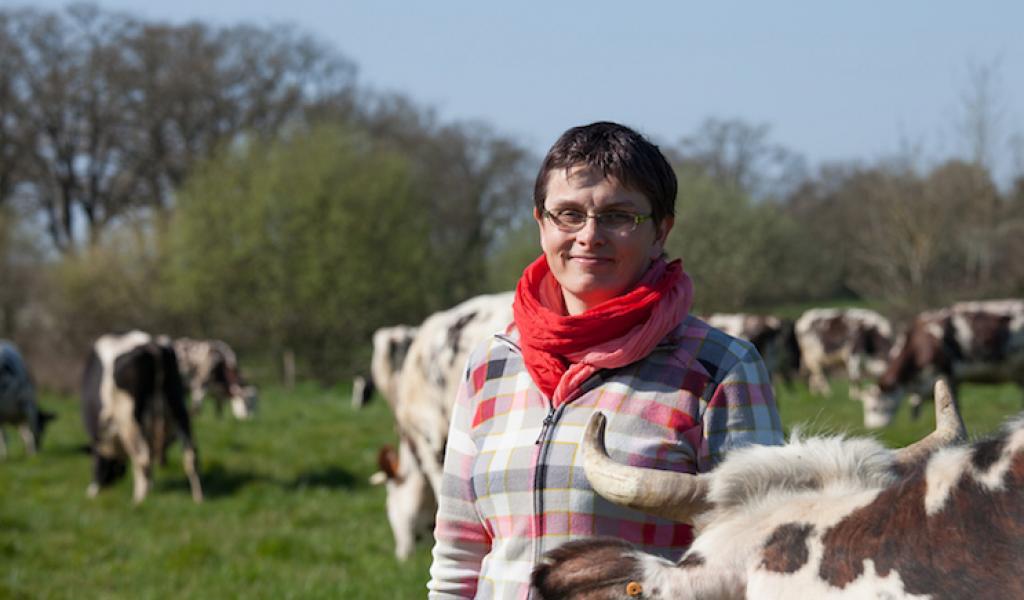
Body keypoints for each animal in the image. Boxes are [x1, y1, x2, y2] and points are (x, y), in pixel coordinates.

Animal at [80, 329, 202, 501]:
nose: (110, 483)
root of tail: (151, 345)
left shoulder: (97, 431)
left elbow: (98, 458)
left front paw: (93, 490)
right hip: (177, 404)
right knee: (191, 454)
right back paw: (198, 499)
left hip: (129, 418)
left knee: (142, 458)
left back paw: (138, 500)